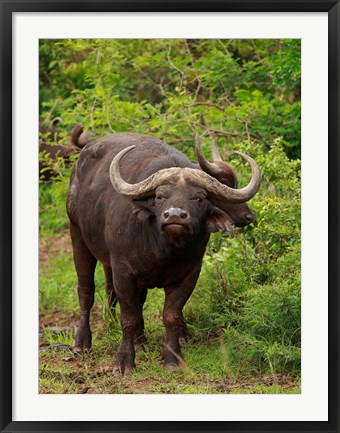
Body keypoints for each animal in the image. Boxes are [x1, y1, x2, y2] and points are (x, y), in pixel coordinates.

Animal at [67, 132, 262, 372]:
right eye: (160, 196)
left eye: (199, 197)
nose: (175, 215)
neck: (163, 249)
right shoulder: (123, 271)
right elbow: (128, 317)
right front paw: (124, 361)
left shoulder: (189, 273)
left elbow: (171, 315)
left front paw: (172, 357)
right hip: (78, 236)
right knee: (86, 291)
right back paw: (82, 343)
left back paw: (141, 342)